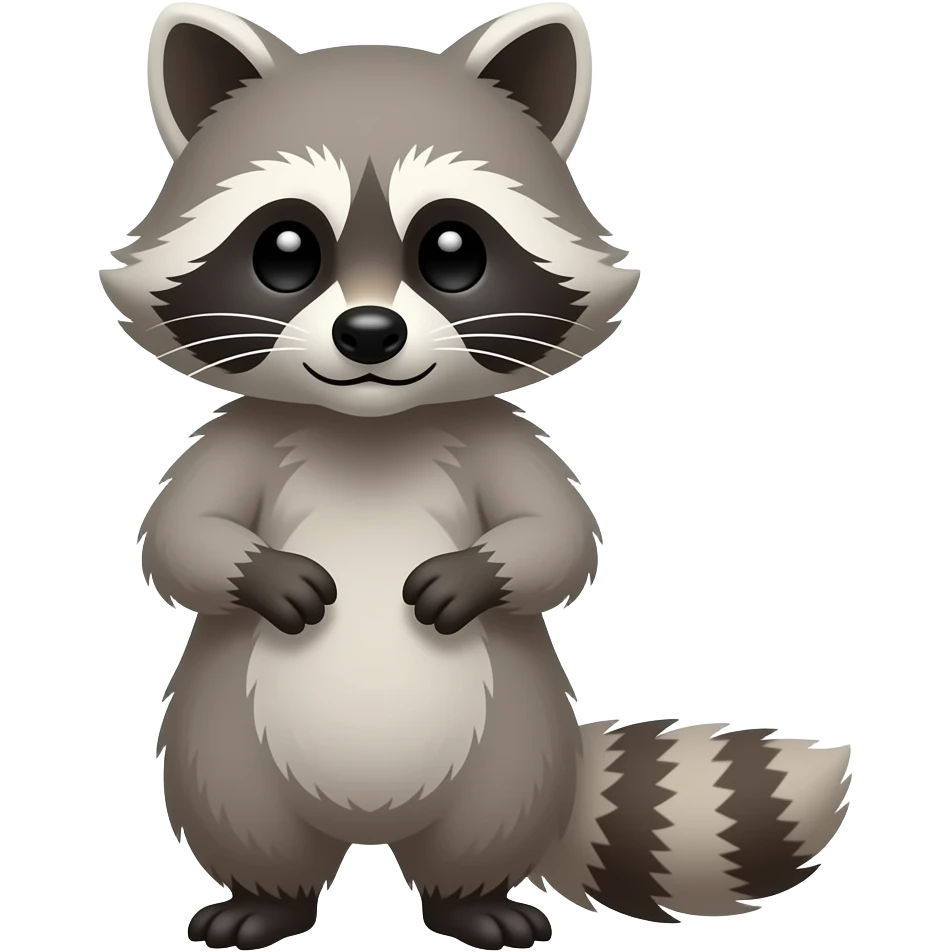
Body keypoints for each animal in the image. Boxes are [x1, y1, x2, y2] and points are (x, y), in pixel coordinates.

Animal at [101, 4, 852, 950]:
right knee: (241, 813)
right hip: (222, 739)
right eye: (286, 251)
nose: (370, 334)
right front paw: (262, 574)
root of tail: (370, 829)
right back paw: (267, 897)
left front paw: (477, 574)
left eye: (452, 251)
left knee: (487, 822)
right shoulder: (244, 434)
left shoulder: (496, 436)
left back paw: (471, 899)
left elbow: (560, 537)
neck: (370, 428)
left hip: (519, 748)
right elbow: (177, 538)